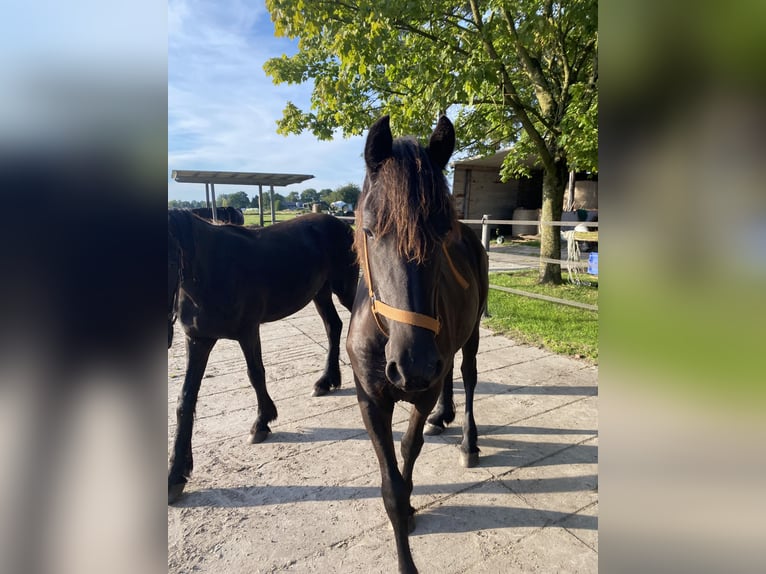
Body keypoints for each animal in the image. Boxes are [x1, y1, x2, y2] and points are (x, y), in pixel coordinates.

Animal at [168, 212, 360, 504]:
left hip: (344, 287)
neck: (211, 269)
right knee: (333, 326)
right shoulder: (198, 340)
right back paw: (326, 381)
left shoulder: (248, 331)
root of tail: (338, 223)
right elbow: (185, 400)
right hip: (321, 292)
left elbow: (255, 374)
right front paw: (176, 474)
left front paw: (261, 423)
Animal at [346, 118, 488, 574]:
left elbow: (408, 453)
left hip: (472, 334)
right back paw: (444, 415)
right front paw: (404, 515)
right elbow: (391, 483)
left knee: (468, 375)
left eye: (442, 231)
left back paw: (468, 442)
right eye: (370, 229)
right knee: (452, 373)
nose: (415, 365)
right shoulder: (370, 400)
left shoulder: (420, 393)